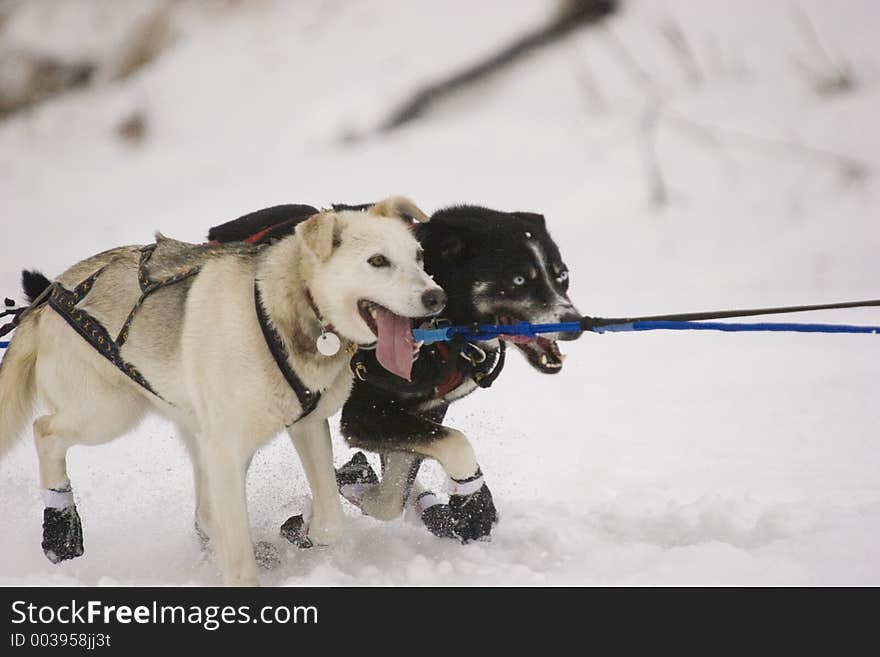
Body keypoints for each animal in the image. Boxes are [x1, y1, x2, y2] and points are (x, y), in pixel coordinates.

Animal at [0, 199, 444, 584]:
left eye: (419, 257)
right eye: (378, 261)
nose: (436, 296)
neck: (283, 311)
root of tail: (48, 298)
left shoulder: (306, 425)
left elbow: (331, 521)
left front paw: (306, 527)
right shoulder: (227, 451)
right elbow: (240, 561)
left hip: (188, 430)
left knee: (205, 511)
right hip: (110, 413)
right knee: (44, 430)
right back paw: (60, 528)